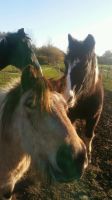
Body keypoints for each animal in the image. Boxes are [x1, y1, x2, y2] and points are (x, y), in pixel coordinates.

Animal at [51, 34, 103, 162]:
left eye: (85, 65)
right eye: (65, 63)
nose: (66, 97)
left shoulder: (94, 117)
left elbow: (88, 135)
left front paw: (88, 157)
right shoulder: (71, 116)